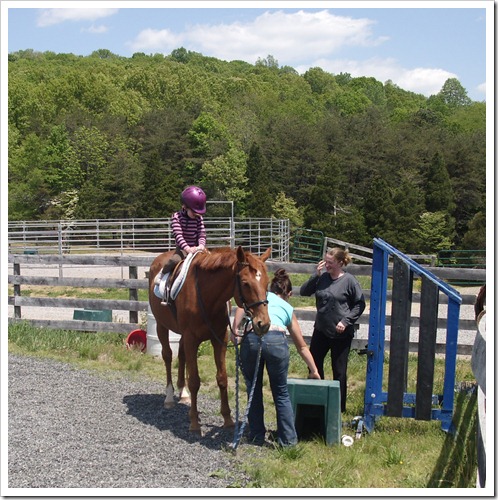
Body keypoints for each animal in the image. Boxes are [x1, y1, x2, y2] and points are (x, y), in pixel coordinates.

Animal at [148, 246, 271, 434]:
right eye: (245, 283)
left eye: (267, 283)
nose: (263, 324)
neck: (207, 298)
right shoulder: (191, 339)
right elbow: (194, 381)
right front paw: (194, 422)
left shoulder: (219, 338)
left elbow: (222, 378)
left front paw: (227, 419)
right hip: (161, 326)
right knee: (168, 356)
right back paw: (169, 396)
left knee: (181, 356)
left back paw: (183, 393)